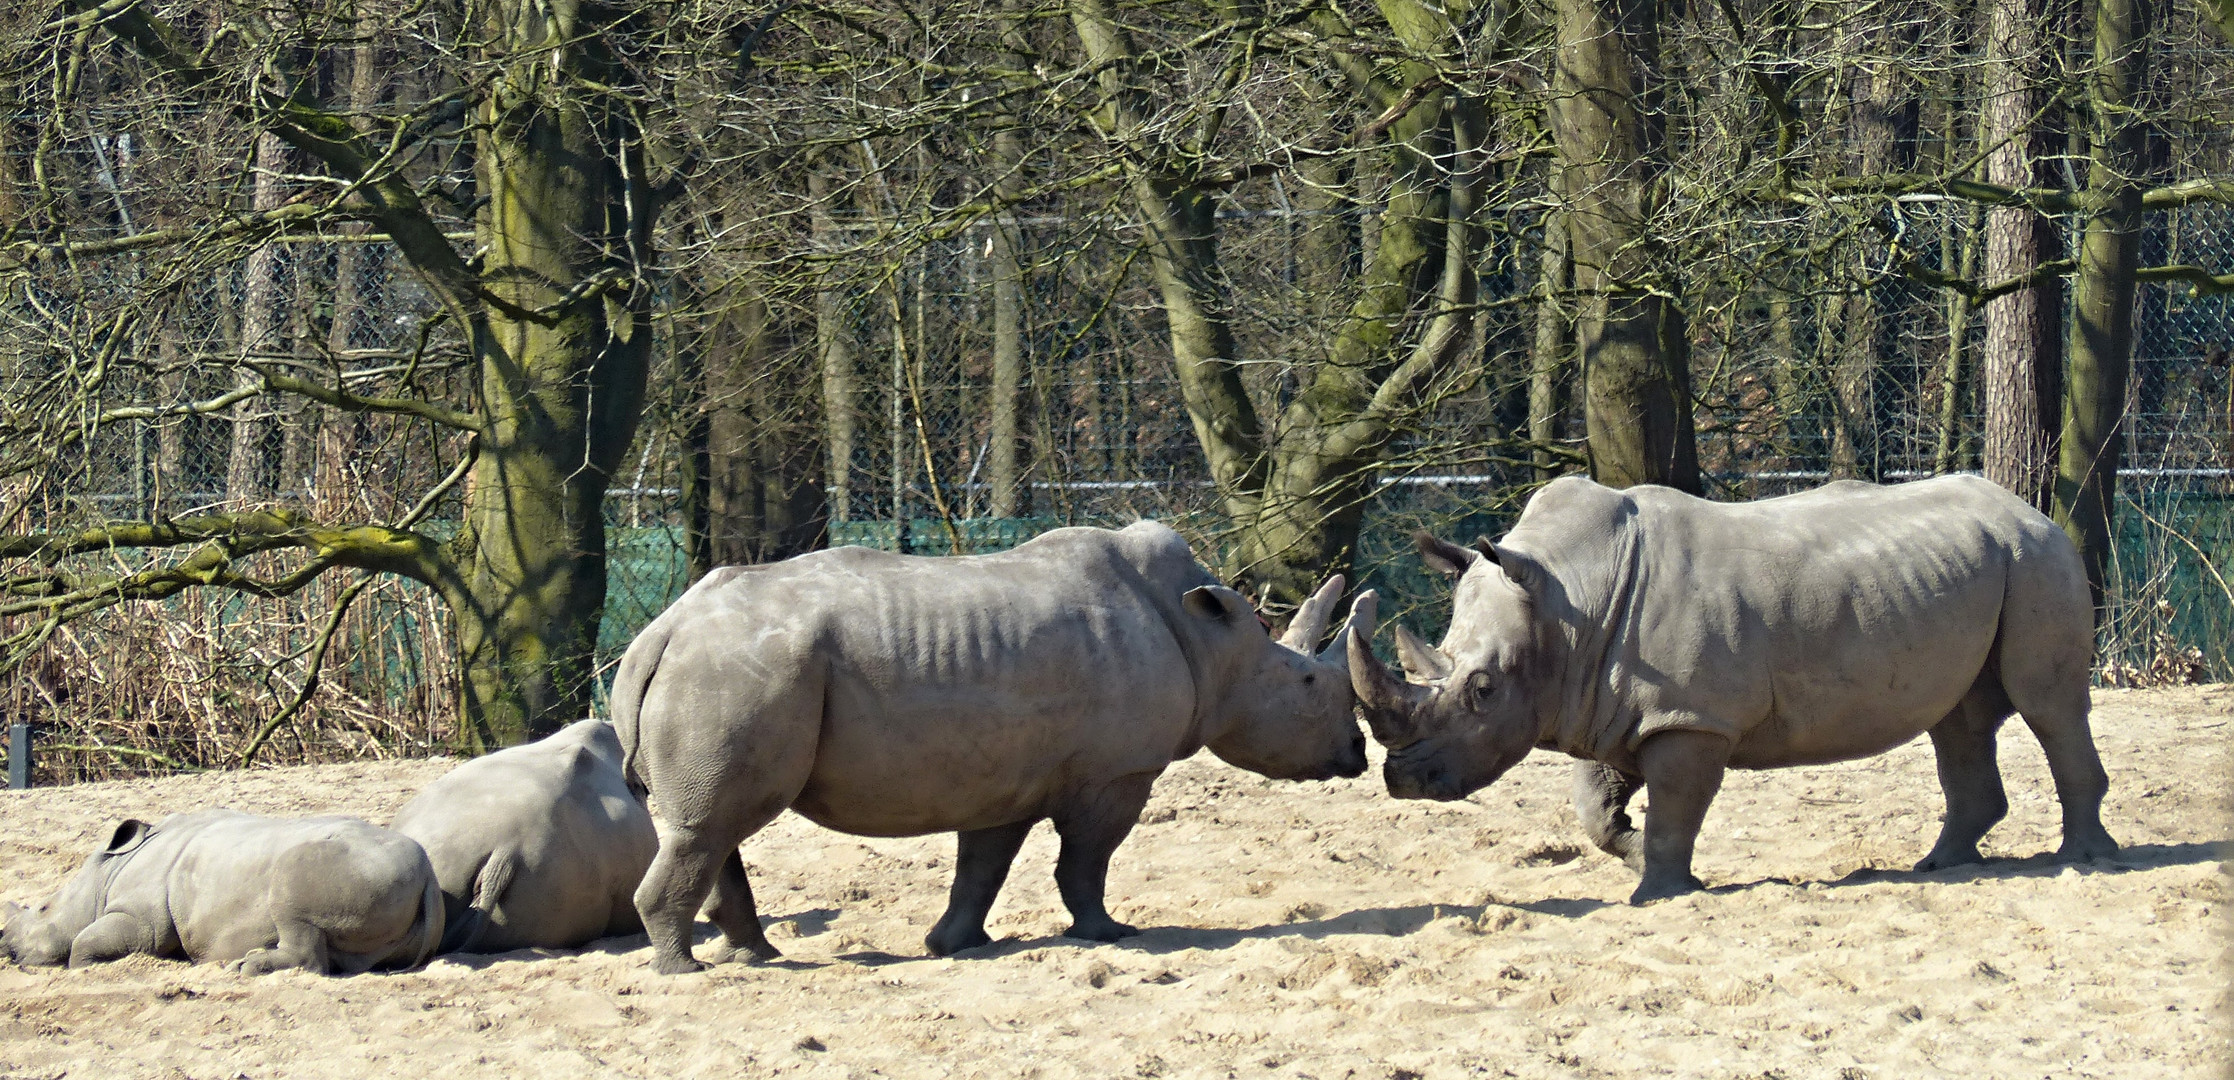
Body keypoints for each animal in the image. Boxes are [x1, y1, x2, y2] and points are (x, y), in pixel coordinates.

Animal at [0, 809, 444, 974]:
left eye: (42, 908)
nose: (7, 948)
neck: (107, 874)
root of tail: (427, 872)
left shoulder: (141, 919)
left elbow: (84, 944)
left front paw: (87, 967)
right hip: (381, 873)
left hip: (348, 866)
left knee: (292, 895)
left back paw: (247, 967)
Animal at [616, 520, 1376, 974]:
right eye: (1308, 682)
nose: (1356, 755)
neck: (1211, 643)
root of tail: (663, 631)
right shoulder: (1118, 771)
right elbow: (1087, 860)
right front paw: (1109, 935)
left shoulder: (1008, 773)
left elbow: (984, 866)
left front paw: (955, 946)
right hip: (740, 672)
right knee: (712, 825)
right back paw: (686, 971)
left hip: (726, 671)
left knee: (715, 825)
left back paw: (754, 957)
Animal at [1349, 478, 2117, 907]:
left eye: (1483, 689)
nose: (1401, 779)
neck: (1568, 600)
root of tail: (2032, 509)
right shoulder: (1604, 702)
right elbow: (1594, 808)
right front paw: (1634, 854)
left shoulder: (1691, 718)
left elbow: (1674, 808)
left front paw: (1657, 894)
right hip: (1980, 564)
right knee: (1956, 719)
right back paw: (1941, 865)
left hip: (2038, 558)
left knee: (2047, 706)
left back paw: (2083, 861)